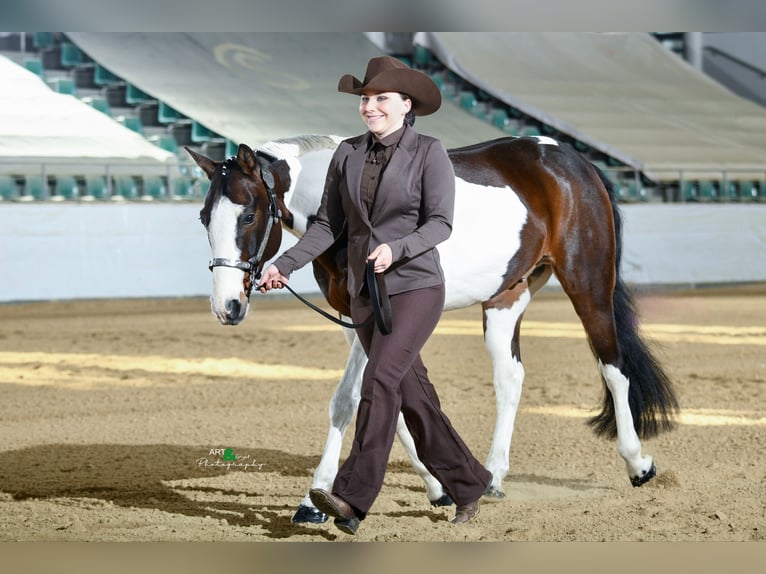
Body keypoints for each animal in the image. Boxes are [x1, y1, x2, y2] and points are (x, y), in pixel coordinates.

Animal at [189, 135, 680, 528]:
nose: (226, 307)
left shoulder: (374, 318)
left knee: (613, 368)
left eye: (248, 216)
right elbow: (397, 404)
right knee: (511, 379)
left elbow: (348, 400)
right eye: (203, 218)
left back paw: (638, 464)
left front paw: (314, 501)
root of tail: (571, 159)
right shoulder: (357, 324)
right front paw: (438, 488)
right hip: (506, 298)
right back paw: (493, 478)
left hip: (588, 283)